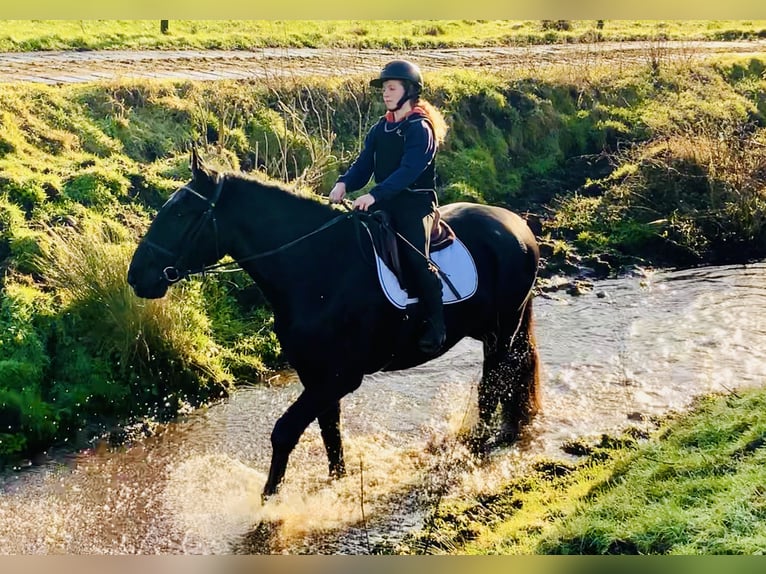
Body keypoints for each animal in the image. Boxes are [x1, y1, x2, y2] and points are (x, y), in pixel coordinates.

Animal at [127, 153, 540, 500]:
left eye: (181, 213)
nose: (136, 276)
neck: (317, 266)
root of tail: (517, 225)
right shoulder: (316, 375)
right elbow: (331, 433)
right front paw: (335, 482)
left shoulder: (340, 377)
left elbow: (285, 431)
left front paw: (268, 502)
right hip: (492, 330)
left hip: (502, 328)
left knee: (493, 384)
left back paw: (478, 443)